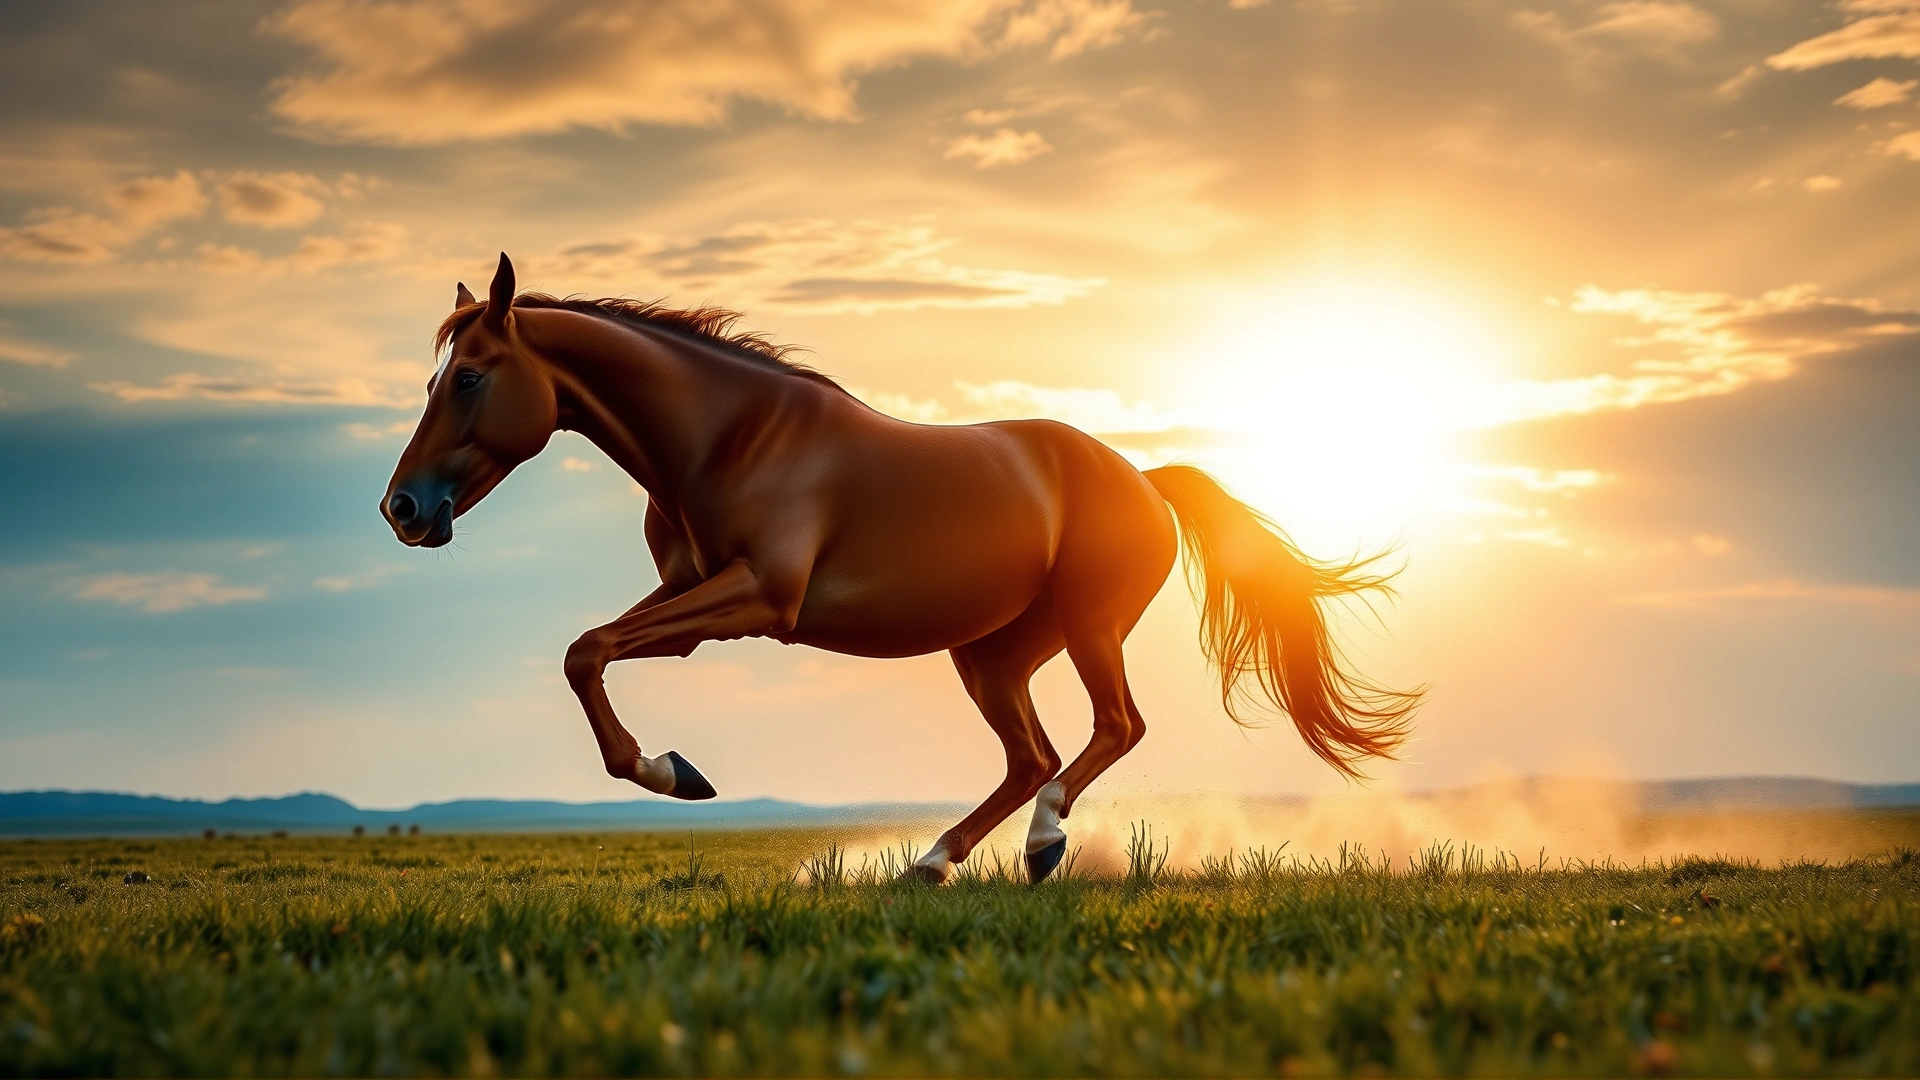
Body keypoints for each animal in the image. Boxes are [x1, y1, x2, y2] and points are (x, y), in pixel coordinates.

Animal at [382, 253, 1421, 883]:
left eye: (467, 377)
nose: (403, 509)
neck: (728, 436)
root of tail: (1143, 478)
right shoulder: (688, 598)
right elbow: (588, 651)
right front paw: (679, 772)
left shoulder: (758, 599)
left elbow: (587, 649)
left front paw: (671, 771)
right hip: (993, 655)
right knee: (1033, 755)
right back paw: (932, 862)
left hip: (1088, 628)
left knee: (1109, 731)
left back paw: (1044, 845)